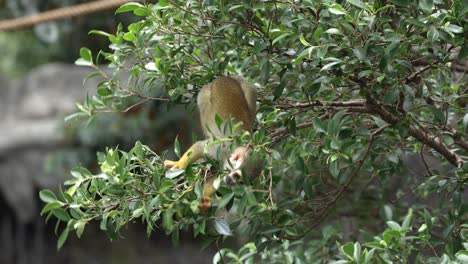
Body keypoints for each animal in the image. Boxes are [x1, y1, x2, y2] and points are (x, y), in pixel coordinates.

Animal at [164, 76, 260, 210]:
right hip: (206, 92)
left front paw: (205, 198)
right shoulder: (222, 148)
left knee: (251, 93)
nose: (231, 182)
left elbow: (217, 180)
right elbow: (200, 147)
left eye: (240, 182)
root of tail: (227, 77)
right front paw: (178, 165)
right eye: (236, 176)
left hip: (246, 86)